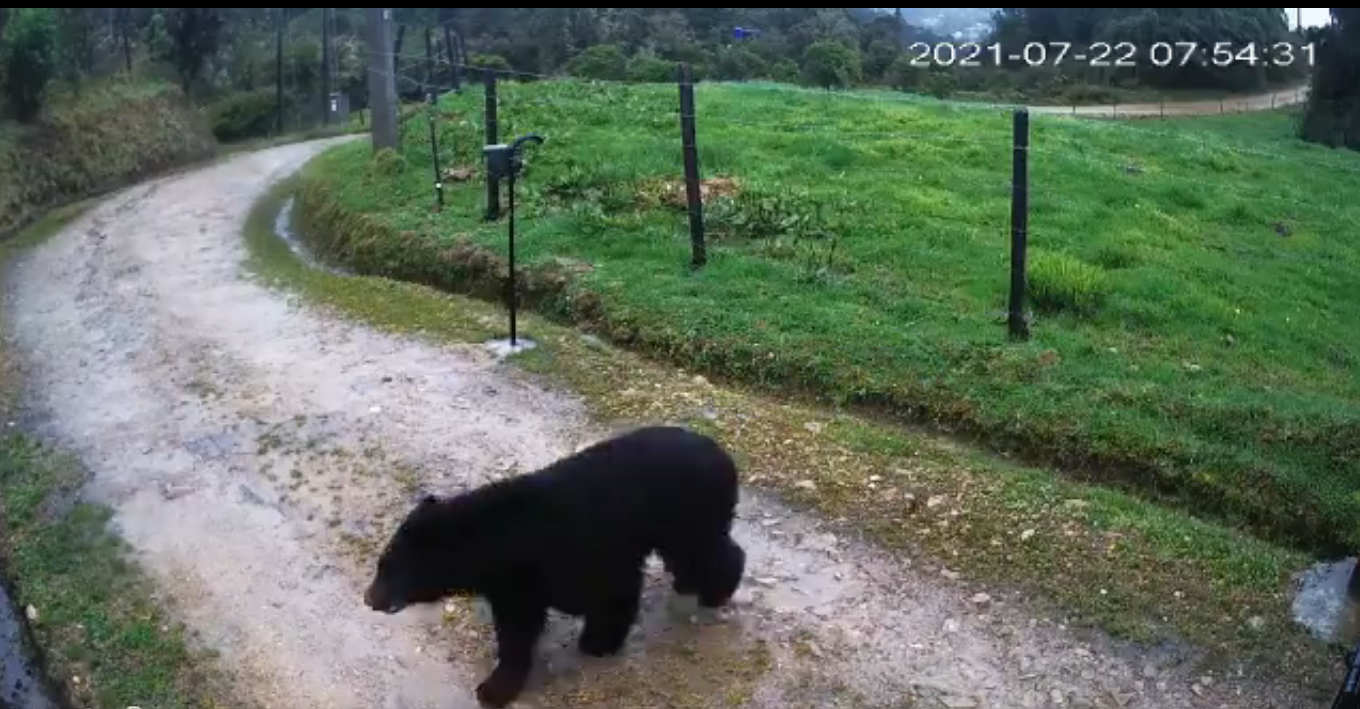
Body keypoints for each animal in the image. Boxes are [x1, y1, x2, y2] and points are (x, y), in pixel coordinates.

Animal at [362, 425, 747, 708]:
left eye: (390, 570)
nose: (369, 598)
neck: (495, 539)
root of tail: (726, 459)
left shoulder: (571, 555)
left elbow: (586, 601)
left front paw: (494, 688)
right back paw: (690, 584)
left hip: (690, 513)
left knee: (709, 550)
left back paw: (718, 590)